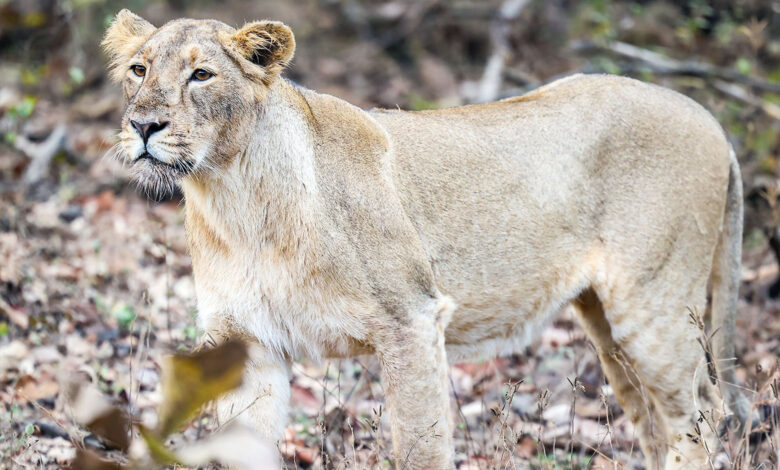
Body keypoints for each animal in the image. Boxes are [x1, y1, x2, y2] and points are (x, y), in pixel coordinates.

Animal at [103, 10, 750, 469]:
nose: (143, 125)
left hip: (654, 303)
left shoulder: (409, 320)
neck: (233, 196)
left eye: (201, 74)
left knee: (700, 415)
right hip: (607, 323)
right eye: (139, 70)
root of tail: (711, 119)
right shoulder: (250, 343)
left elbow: (420, 447)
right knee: (655, 421)